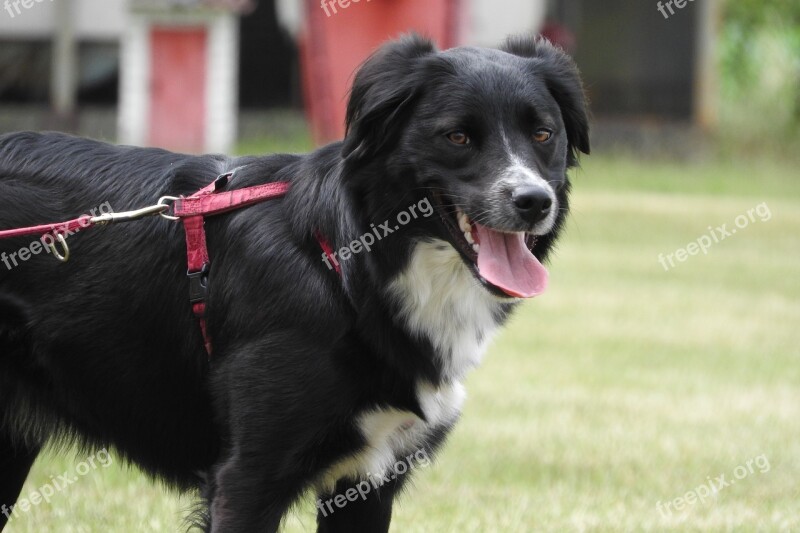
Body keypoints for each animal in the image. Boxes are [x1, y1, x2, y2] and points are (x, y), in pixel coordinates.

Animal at [0, 35, 588, 528]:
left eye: (543, 134)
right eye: (458, 136)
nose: (534, 202)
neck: (343, 270)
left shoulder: (367, 482)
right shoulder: (247, 479)